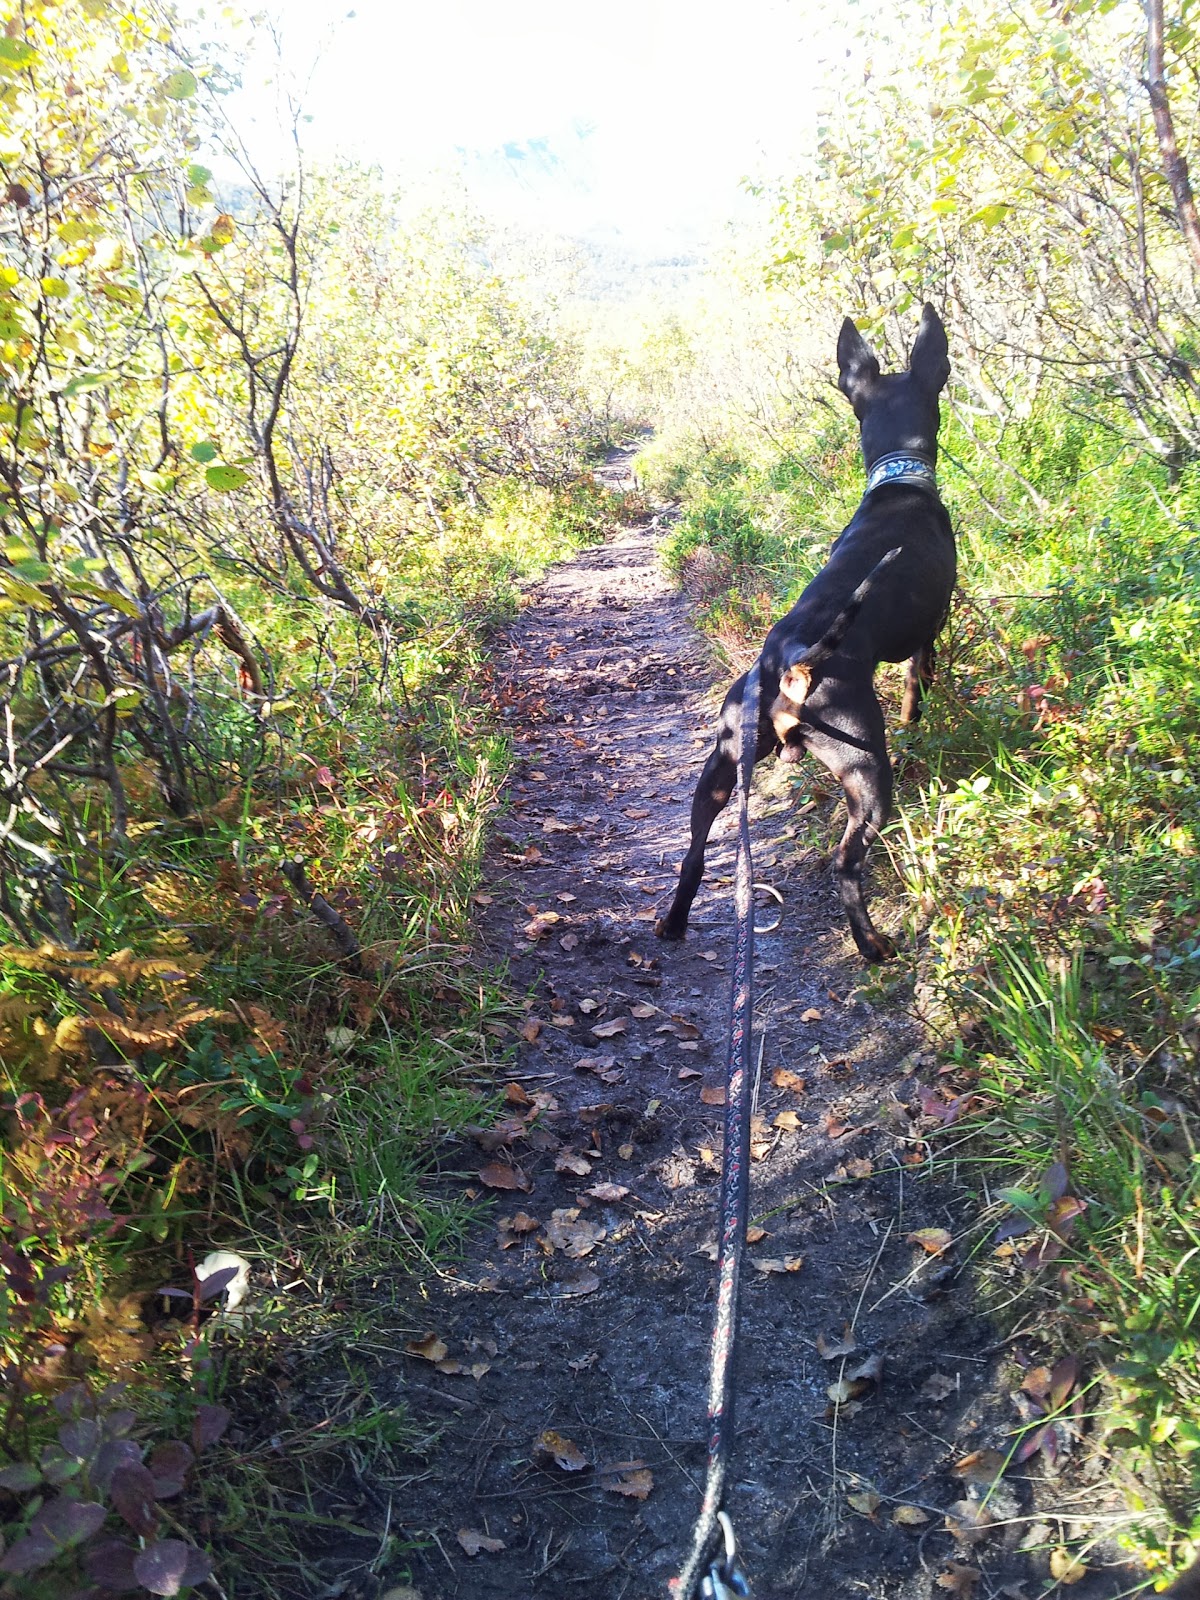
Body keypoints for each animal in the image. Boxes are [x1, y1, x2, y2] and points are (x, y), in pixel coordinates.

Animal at [656, 304, 955, 963]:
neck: (898, 483)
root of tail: (791, 660)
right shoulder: (926, 638)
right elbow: (918, 691)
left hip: (722, 765)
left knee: (693, 855)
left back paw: (673, 924)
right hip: (865, 773)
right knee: (844, 863)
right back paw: (872, 944)